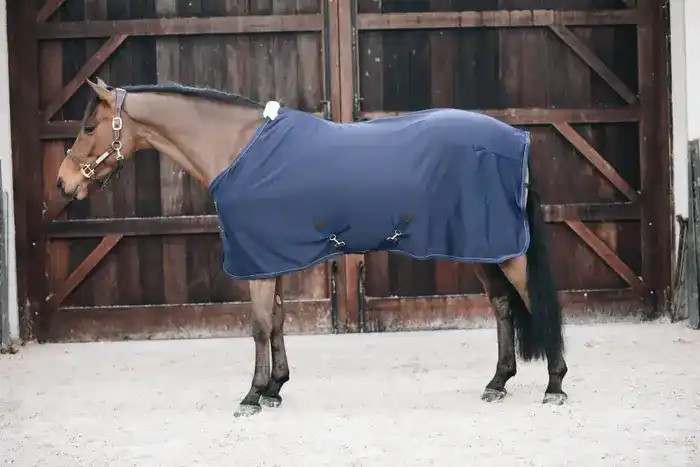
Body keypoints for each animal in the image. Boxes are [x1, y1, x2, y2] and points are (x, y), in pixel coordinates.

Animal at [56, 78, 568, 416]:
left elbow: (259, 325)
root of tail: (516, 138)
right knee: (503, 307)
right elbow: (278, 320)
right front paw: (275, 388)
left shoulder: (257, 262)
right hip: (483, 248)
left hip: (507, 252)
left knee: (535, 302)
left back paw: (555, 386)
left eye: (87, 127)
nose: (62, 183)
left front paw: (252, 395)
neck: (238, 149)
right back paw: (498, 382)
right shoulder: (270, 255)